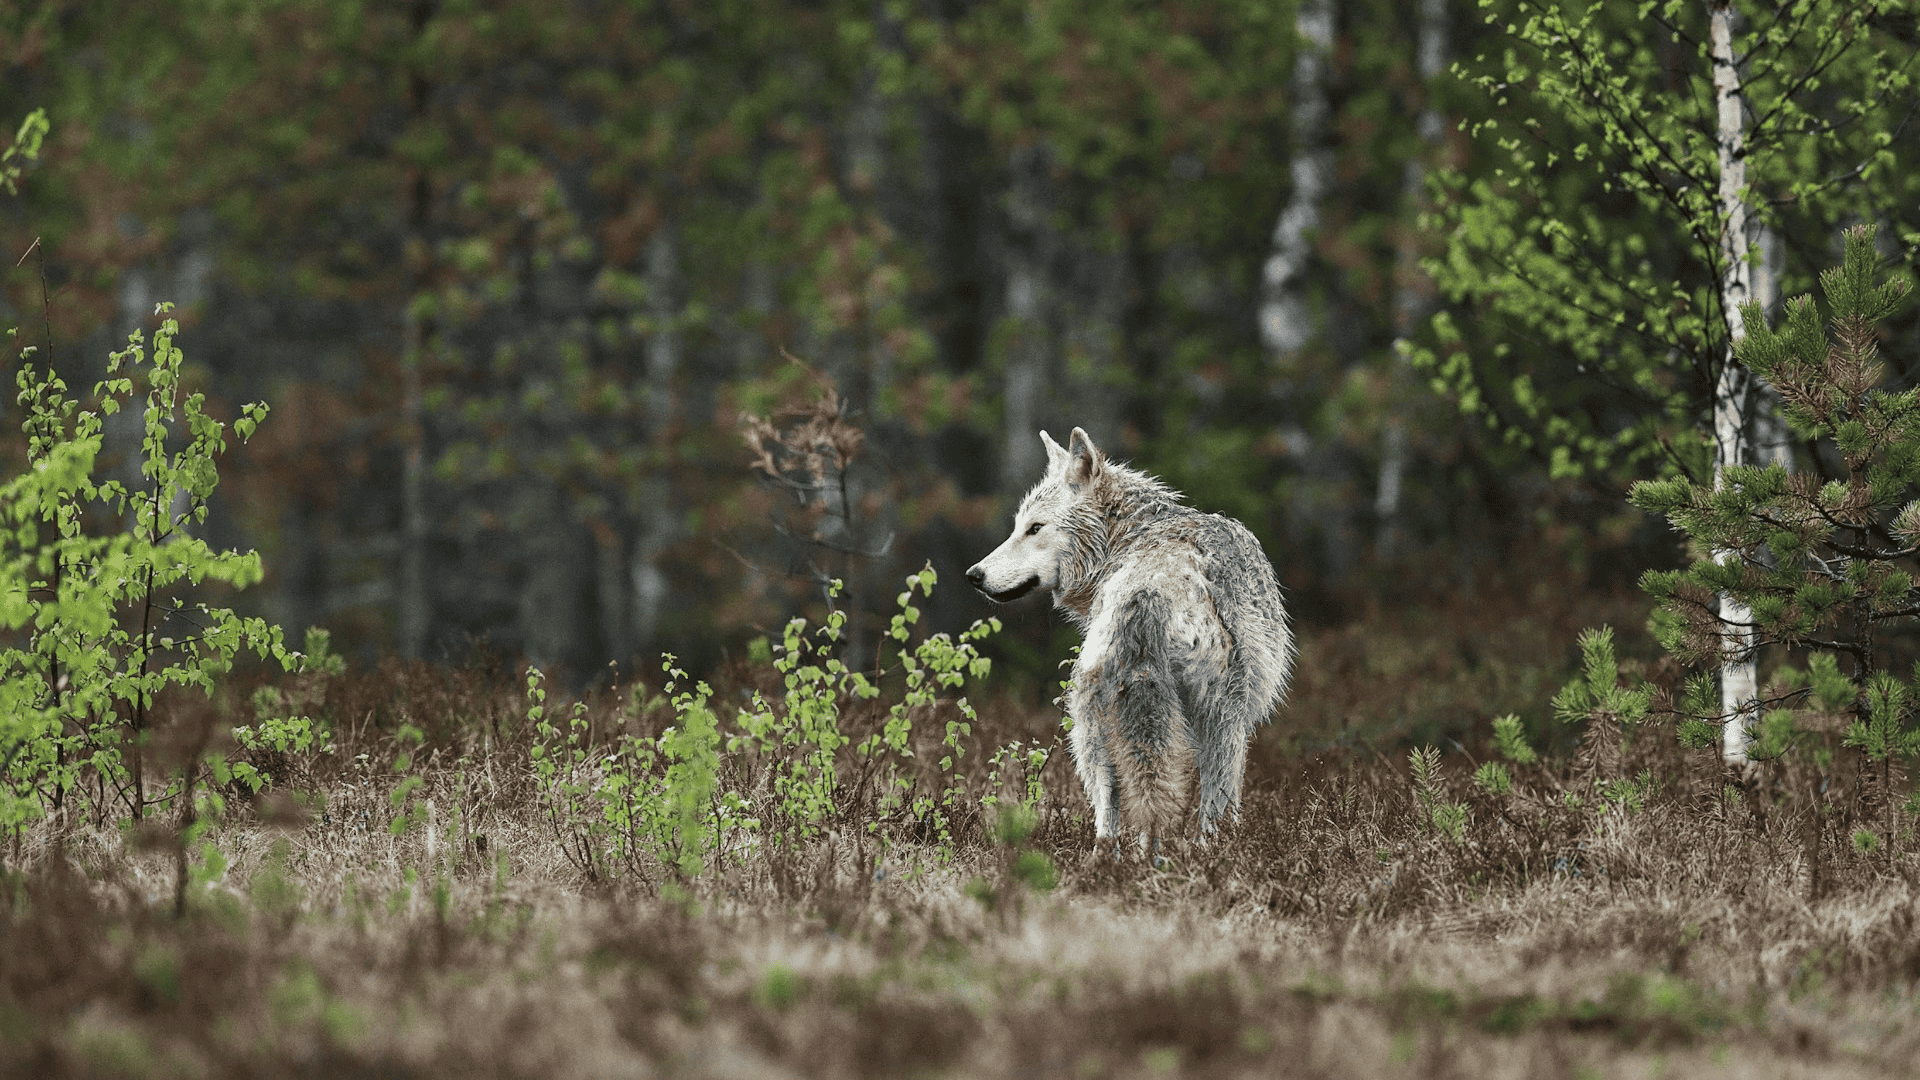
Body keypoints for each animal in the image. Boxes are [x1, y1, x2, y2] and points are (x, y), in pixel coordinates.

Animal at [966, 427, 1293, 858]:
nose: (973, 574)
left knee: (1115, 808)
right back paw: (1197, 857)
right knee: (1191, 806)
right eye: (1020, 526)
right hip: (1213, 719)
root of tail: (1147, 593)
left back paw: (1117, 862)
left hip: (1095, 719)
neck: (1127, 536)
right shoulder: (1237, 719)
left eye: (1033, 528)